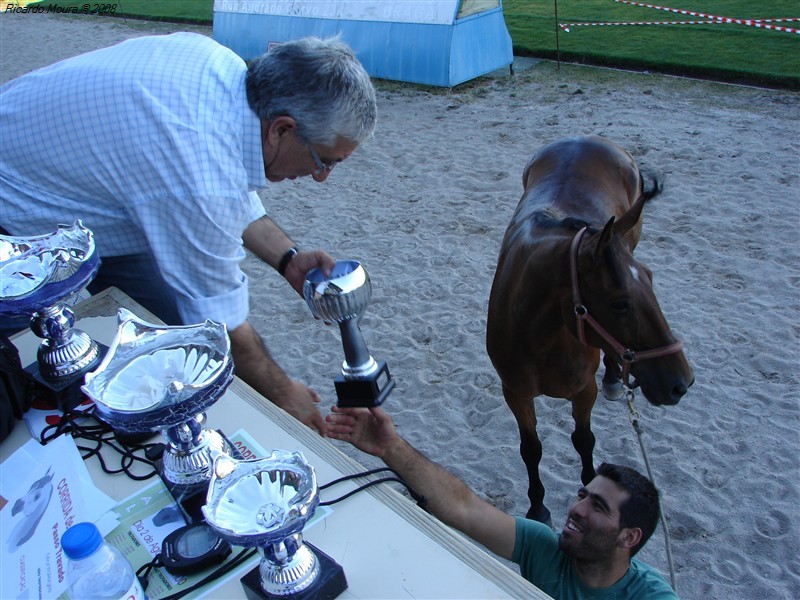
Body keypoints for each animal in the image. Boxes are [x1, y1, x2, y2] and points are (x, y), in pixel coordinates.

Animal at [488, 137, 692, 524]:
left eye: (651, 279)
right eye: (619, 303)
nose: (681, 382)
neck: (540, 338)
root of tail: (587, 139)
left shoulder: (584, 391)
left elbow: (584, 440)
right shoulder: (515, 392)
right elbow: (531, 448)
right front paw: (538, 507)